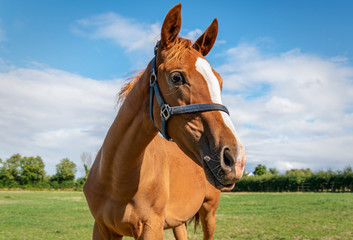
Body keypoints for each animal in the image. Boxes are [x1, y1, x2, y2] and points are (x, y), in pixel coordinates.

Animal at [84, 3, 246, 240]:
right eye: (176, 77)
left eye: (220, 82)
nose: (235, 159)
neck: (116, 178)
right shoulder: (102, 228)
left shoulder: (151, 228)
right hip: (179, 222)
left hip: (209, 213)